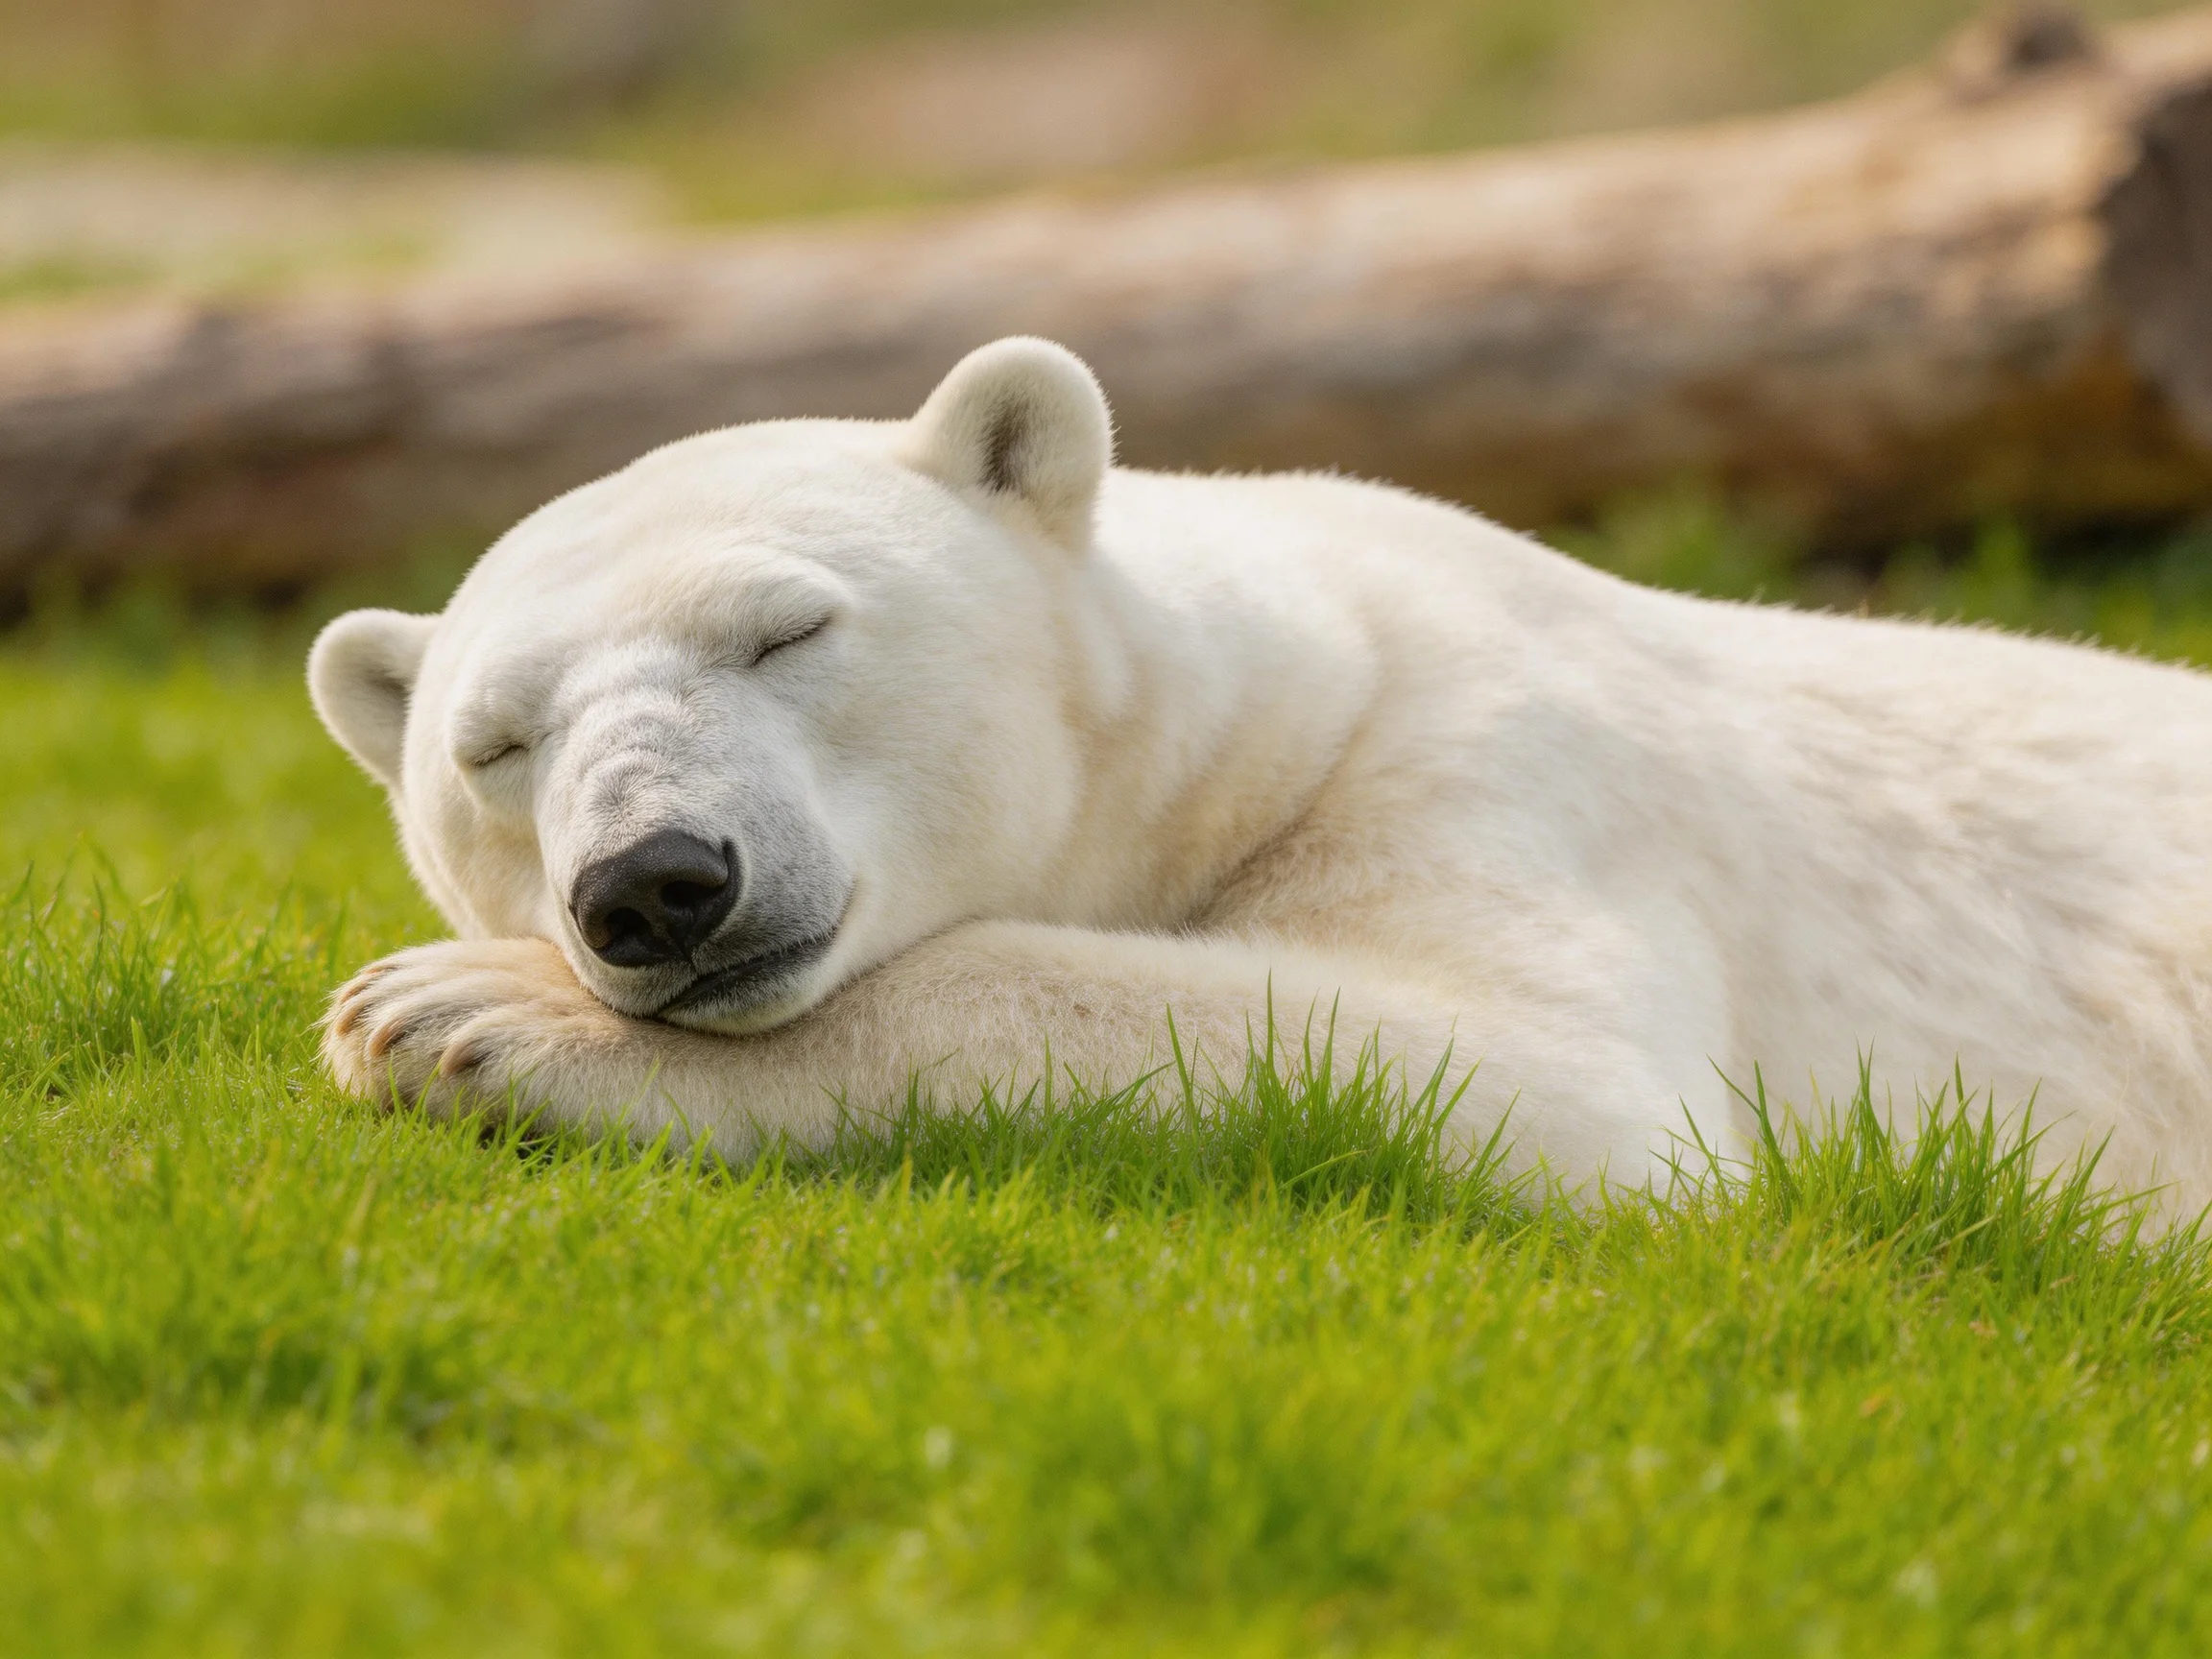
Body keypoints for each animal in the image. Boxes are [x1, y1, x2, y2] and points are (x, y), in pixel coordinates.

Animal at [312, 335, 2212, 1205]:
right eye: (496, 746)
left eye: (788, 631)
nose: (652, 884)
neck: (1300, 688)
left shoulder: (1489, 770)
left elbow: (1540, 1080)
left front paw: (452, 1013)